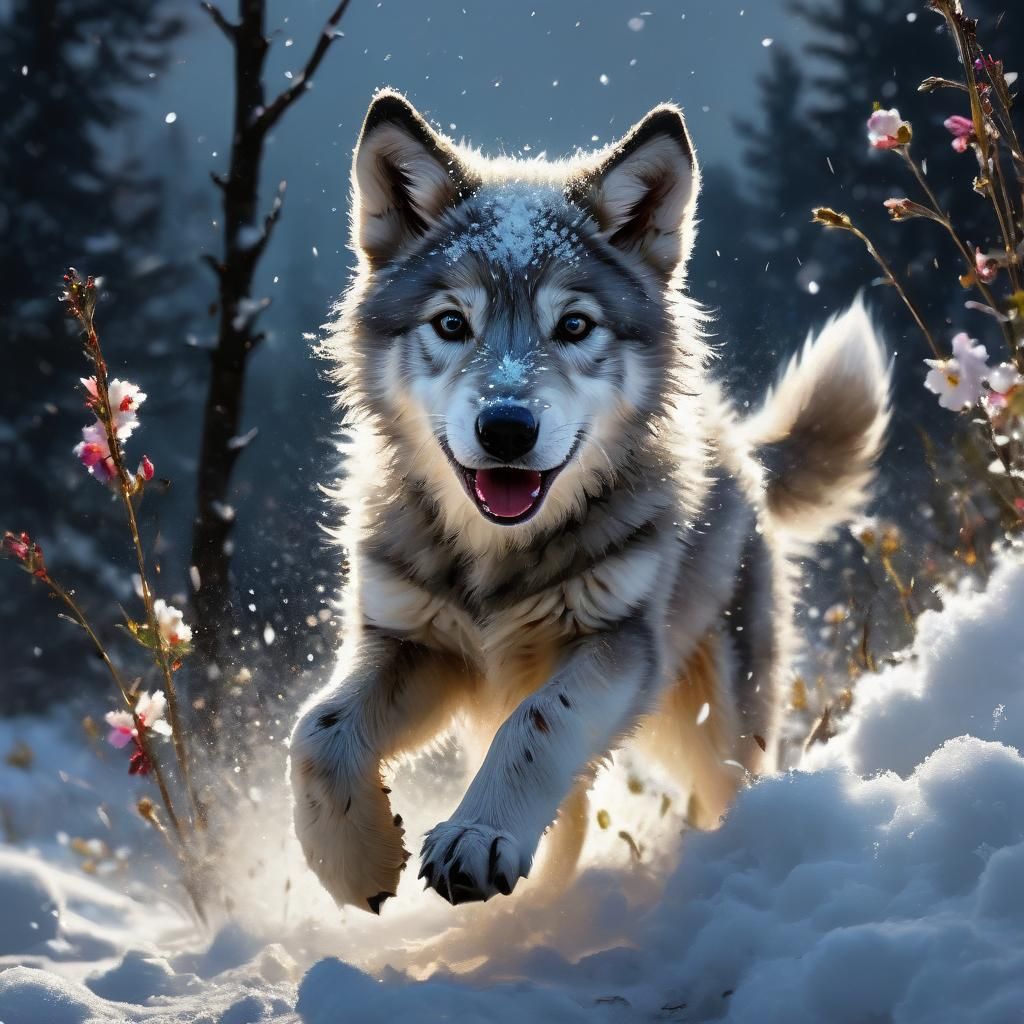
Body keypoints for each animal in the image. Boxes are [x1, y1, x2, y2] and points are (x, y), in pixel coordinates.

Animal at [289, 89, 890, 914]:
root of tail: (736, 440)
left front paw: (475, 836)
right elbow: (317, 731)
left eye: (574, 325)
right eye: (452, 323)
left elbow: (538, 725)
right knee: (568, 813)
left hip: (715, 716)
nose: (507, 429)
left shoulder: (617, 644)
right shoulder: (409, 641)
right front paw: (354, 861)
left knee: (722, 784)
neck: (499, 559)